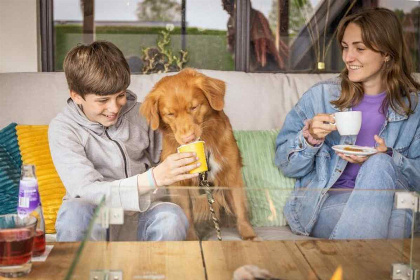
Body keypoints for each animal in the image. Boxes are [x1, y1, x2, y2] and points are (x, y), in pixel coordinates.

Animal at [139, 68, 256, 241]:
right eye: (170, 114)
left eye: (194, 107)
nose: (188, 138)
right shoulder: (178, 184)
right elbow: (186, 213)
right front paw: (191, 239)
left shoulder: (232, 172)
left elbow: (239, 205)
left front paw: (249, 235)